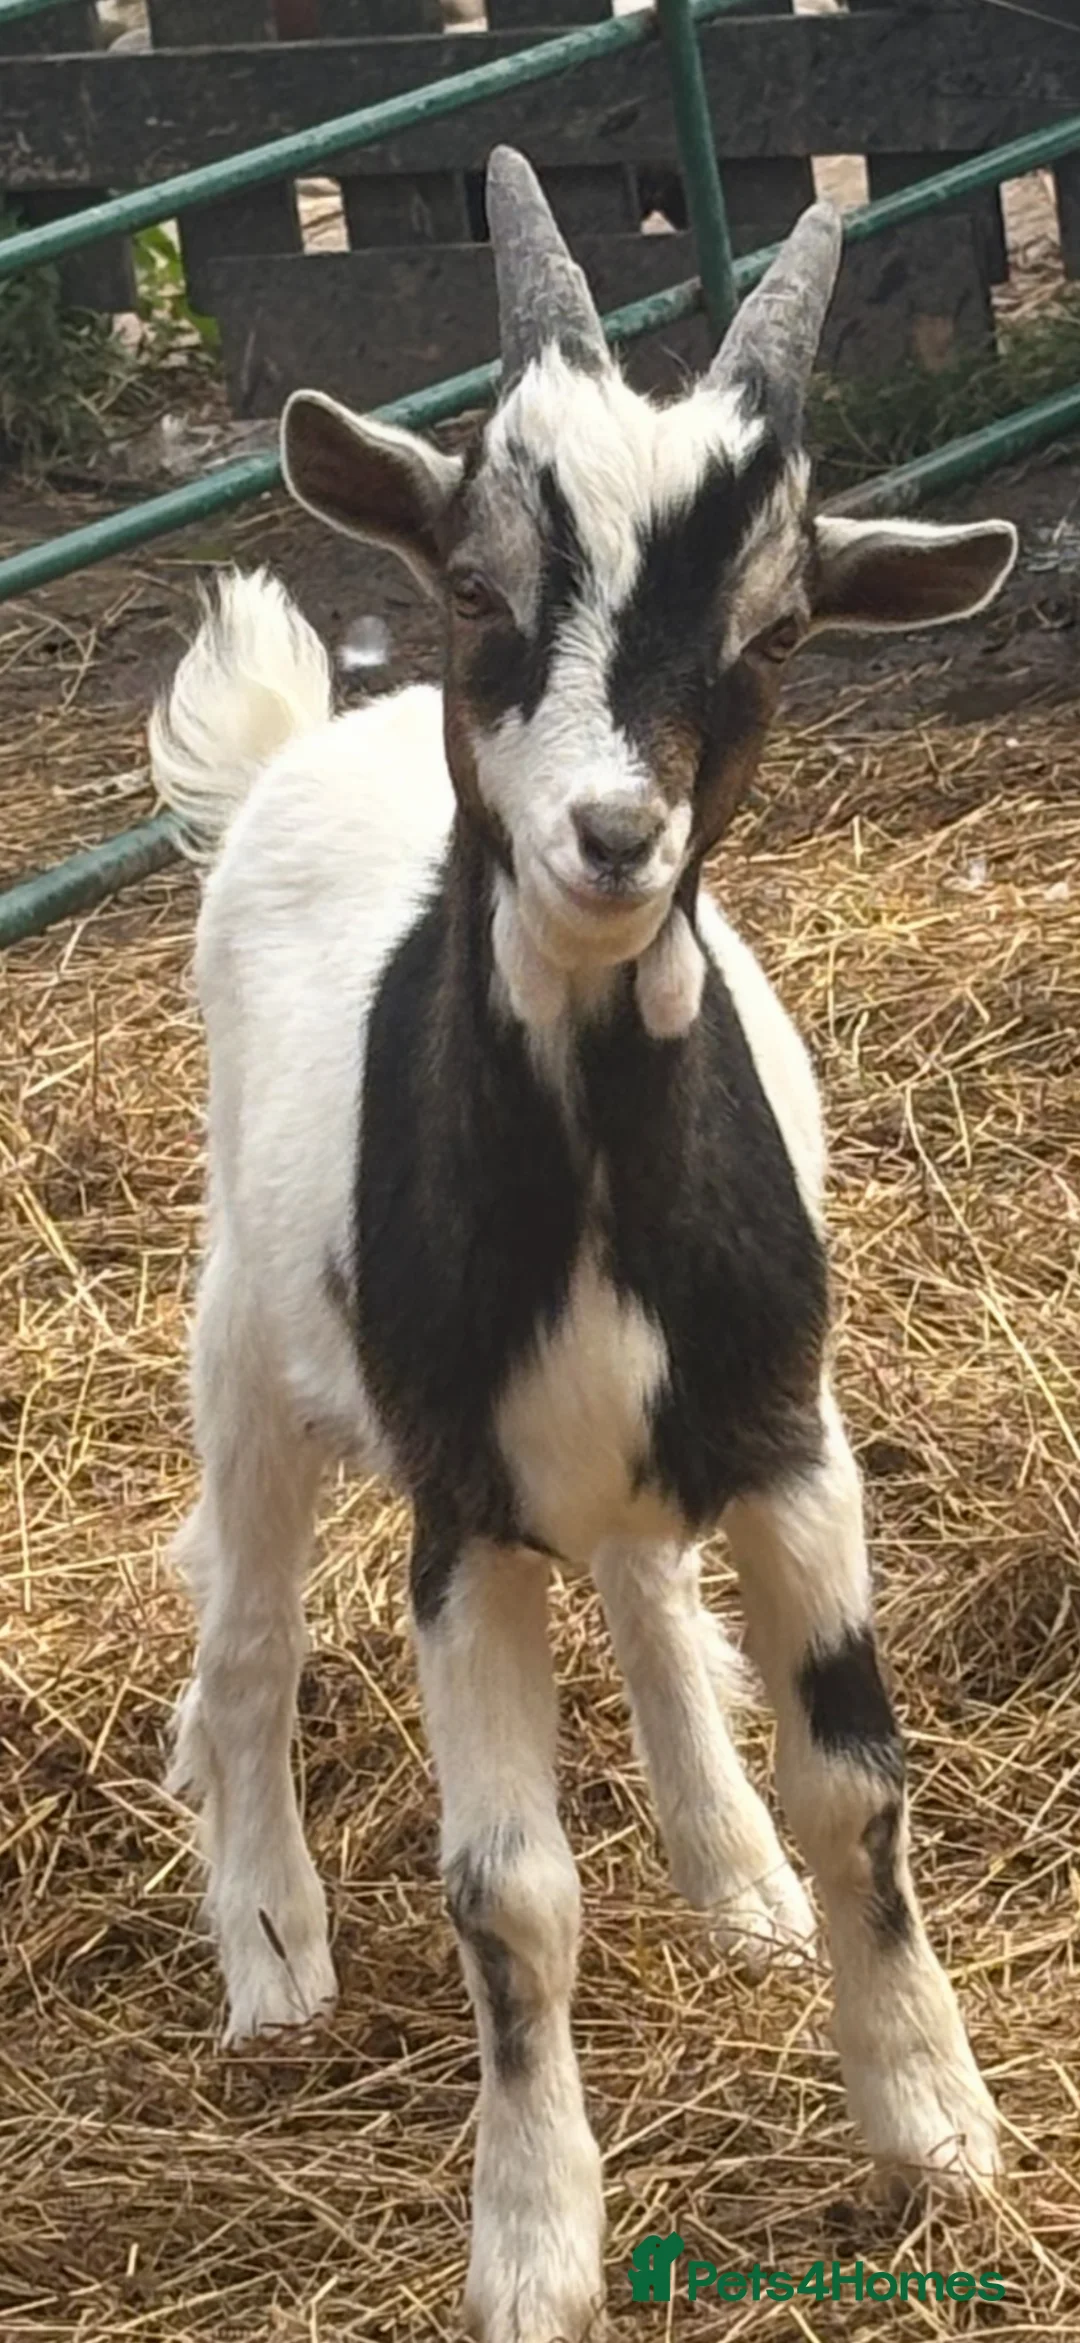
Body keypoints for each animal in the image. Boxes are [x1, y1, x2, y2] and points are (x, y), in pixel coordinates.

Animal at [150, 148, 1016, 2343]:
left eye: (779, 627)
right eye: (479, 586)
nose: (610, 839)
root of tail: (313, 741)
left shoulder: (795, 1438)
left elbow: (863, 1780)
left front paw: (933, 2114)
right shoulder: (459, 1502)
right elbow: (508, 1886)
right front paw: (534, 2240)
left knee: (636, 1583)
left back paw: (734, 1872)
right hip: (241, 1347)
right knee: (248, 1637)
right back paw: (270, 1950)